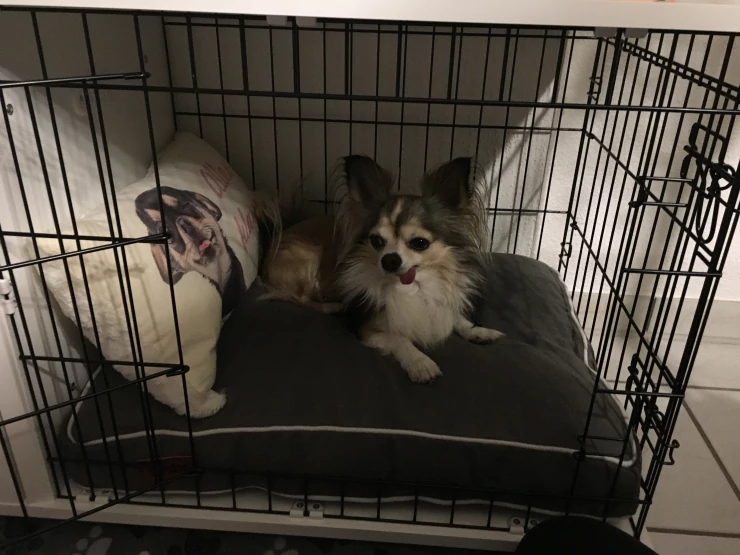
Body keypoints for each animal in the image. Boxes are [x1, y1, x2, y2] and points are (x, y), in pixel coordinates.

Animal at [261, 155, 504, 383]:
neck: (411, 288)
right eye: (376, 240)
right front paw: (420, 363)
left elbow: (455, 318)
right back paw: (331, 306)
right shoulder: (369, 329)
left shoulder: (437, 306)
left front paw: (477, 330)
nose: (389, 260)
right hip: (307, 259)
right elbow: (400, 339)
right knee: (299, 298)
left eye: (420, 243)